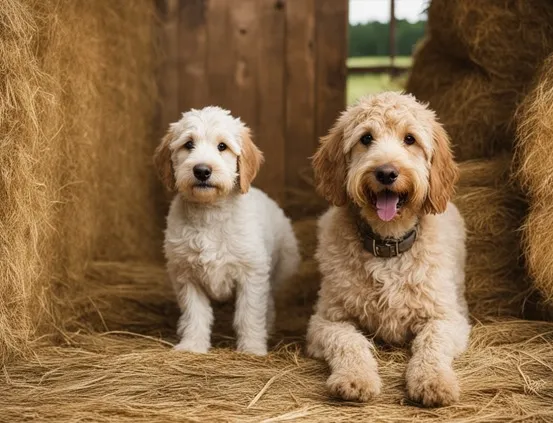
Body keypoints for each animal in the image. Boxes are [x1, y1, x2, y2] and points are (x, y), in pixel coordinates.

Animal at [155, 107, 300, 358]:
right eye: (188, 144)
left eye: (222, 146)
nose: (202, 170)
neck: (209, 213)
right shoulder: (186, 275)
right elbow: (195, 314)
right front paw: (192, 345)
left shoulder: (251, 275)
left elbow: (249, 314)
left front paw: (252, 349)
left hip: (282, 267)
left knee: (269, 299)